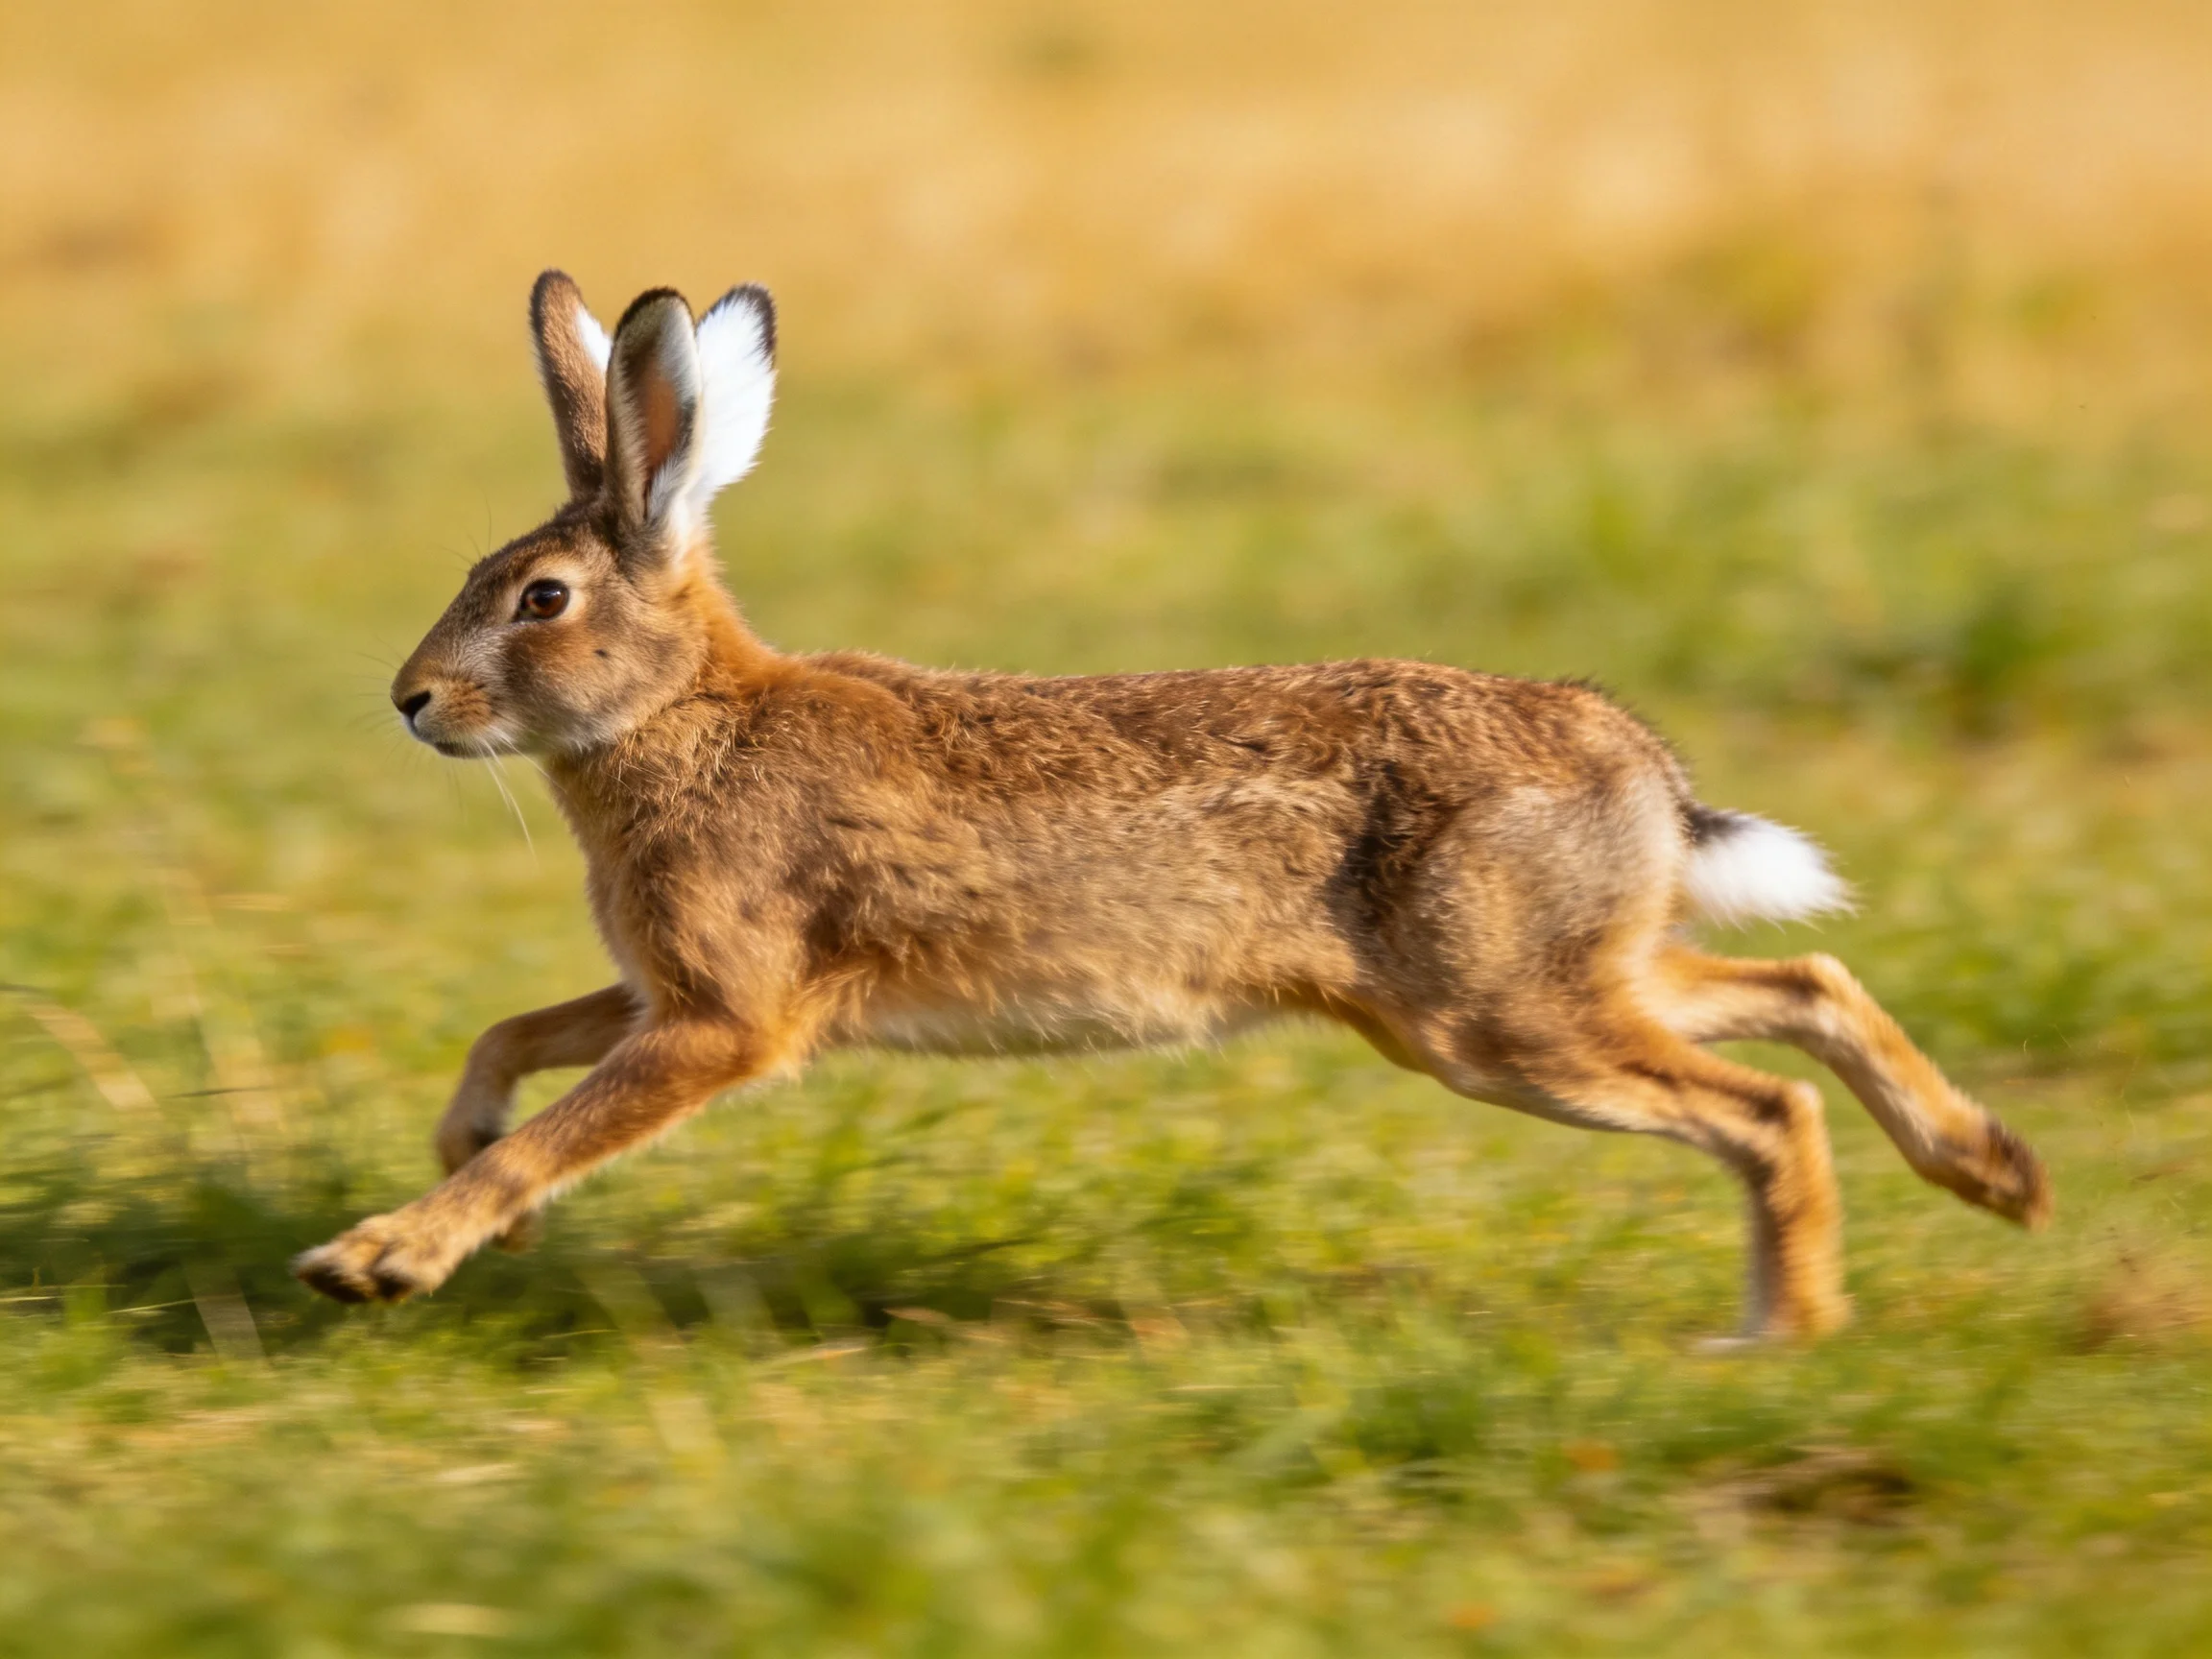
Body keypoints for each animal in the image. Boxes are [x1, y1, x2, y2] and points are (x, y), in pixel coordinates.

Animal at [293, 271, 2051, 1339]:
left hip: (1499, 1013)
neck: (684, 710)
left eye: (538, 598)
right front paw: (465, 1174)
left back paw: (1777, 1334)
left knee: (1763, 1108)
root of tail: (1637, 767)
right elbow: (510, 1040)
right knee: (1803, 986)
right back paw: (1990, 1170)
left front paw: (383, 1256)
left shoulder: (727, 1014)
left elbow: (564, 1123)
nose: (410, 700)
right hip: (1556, 979)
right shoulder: (664, 989)